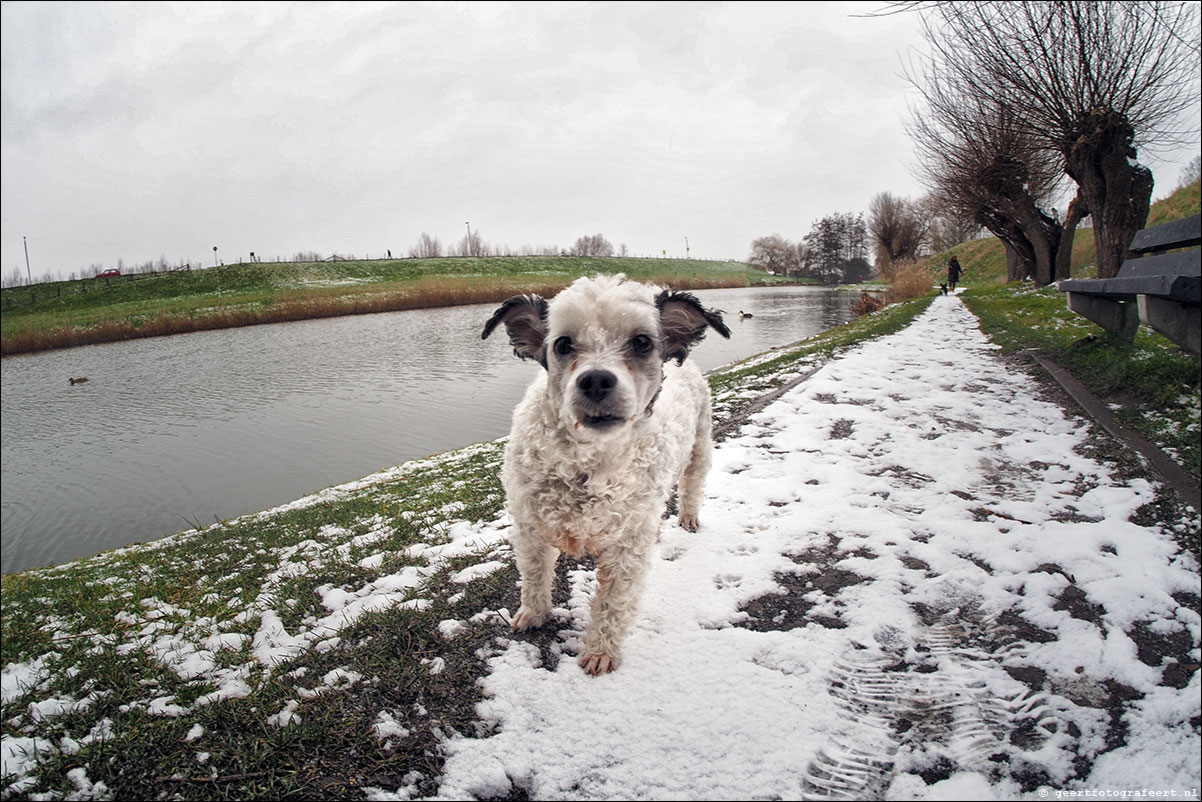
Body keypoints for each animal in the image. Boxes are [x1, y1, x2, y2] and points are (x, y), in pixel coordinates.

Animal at [480, 272, 730, 673]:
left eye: (642, 341)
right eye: (563, 344)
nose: (596, 380)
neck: (589, 461)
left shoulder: (626, 548)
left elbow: (614, 602)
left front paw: (601, 651)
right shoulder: (530, 527)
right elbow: (534, 576)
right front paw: (533, 613)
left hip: (700, 445)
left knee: (692, 484)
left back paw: (689, 517)